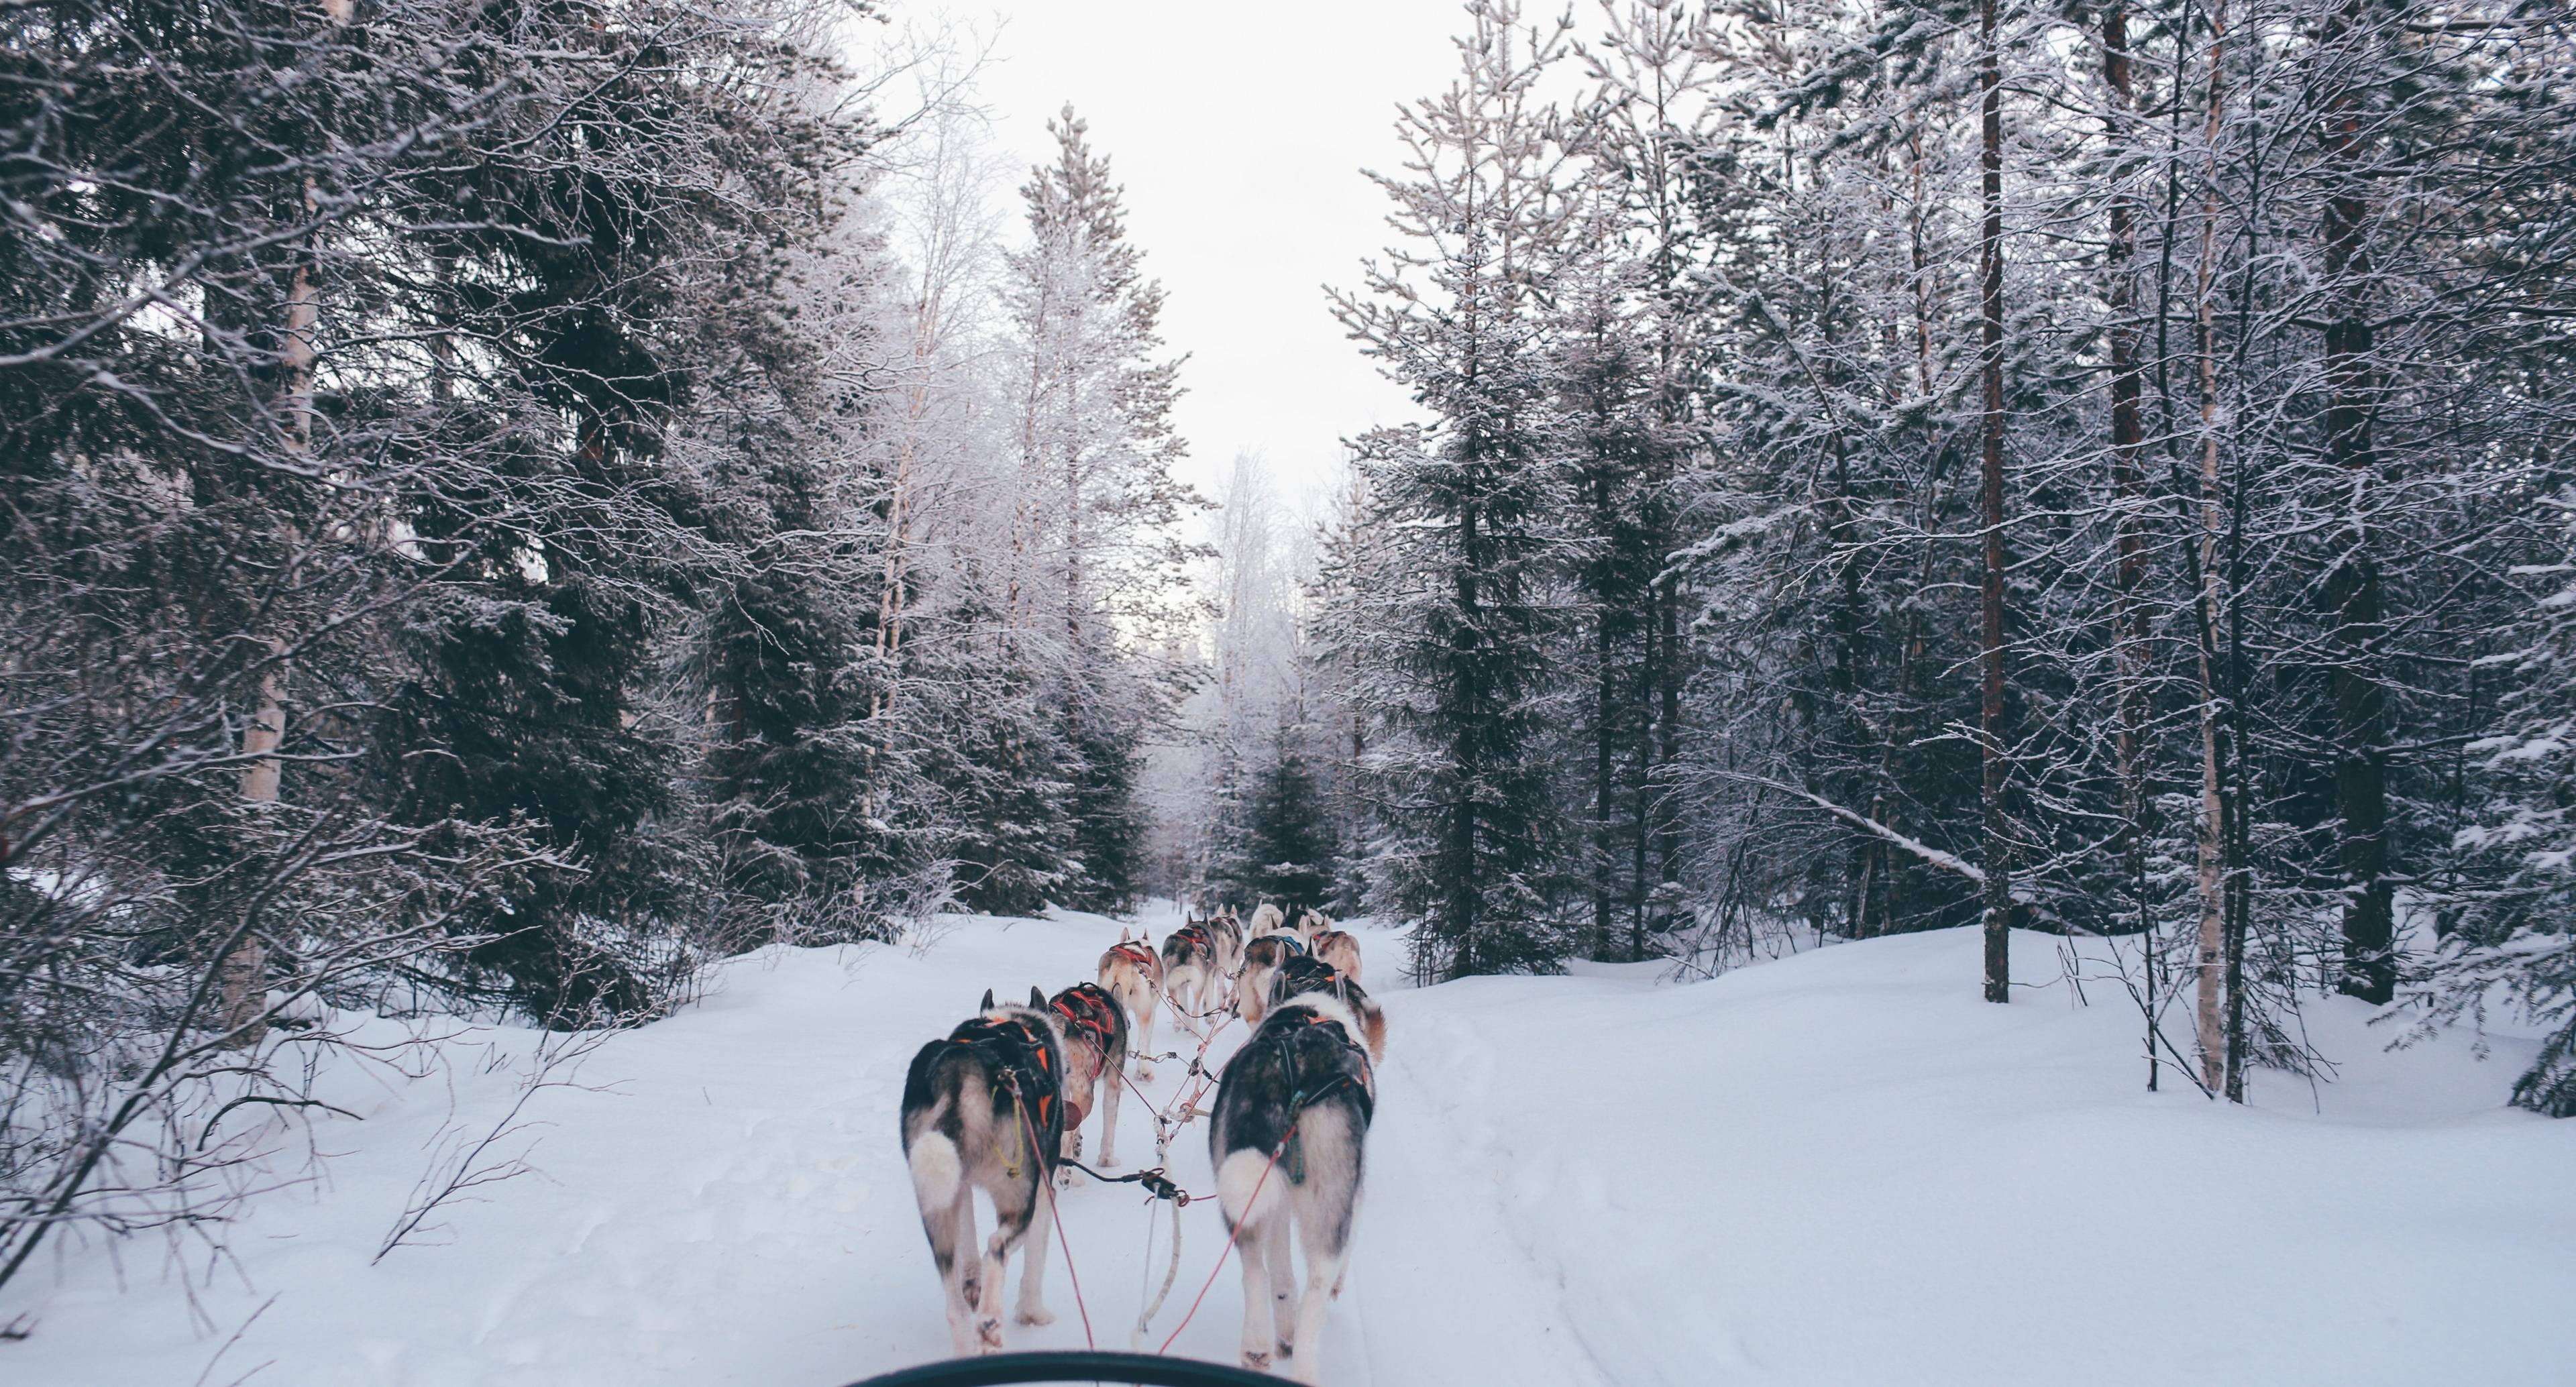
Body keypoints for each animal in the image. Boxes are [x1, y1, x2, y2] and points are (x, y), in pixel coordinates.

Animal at [906, 988, 1066, 1358]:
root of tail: (960, 1068)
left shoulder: (960, 1185)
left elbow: (968, 1238)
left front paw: (972, 1282)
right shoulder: (1042, 1189)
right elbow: (1034, 1259)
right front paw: (1033, 1313)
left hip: (935, 1204)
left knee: (954, 1303)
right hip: (1017, 1194)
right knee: (996, 1247)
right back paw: (990, 1321)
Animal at [1046, 983, 1128, 1178]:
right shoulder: (1113, 1082)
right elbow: (1109, 1127)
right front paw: (1107, 1160)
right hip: (1086, 1095)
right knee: (1065, 1133)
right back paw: (1067, 1175)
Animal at [1092, 931, 1164, 1086]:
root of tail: (1122, 960)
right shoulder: (1152, 1010)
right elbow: (1147, 1041)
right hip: (1144, 1011)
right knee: (1141, 1041)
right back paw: (1145, 1071)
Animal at [1205, 993, 1370, 1379]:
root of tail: (1293, 1066)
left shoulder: (1276, 1201)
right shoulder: (1355, 1197)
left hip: (1247, 1191)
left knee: (1260, 1273)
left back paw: (1259, 1345)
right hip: (1332, 1206)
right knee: (1316, 1290)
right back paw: (1305, 1367)